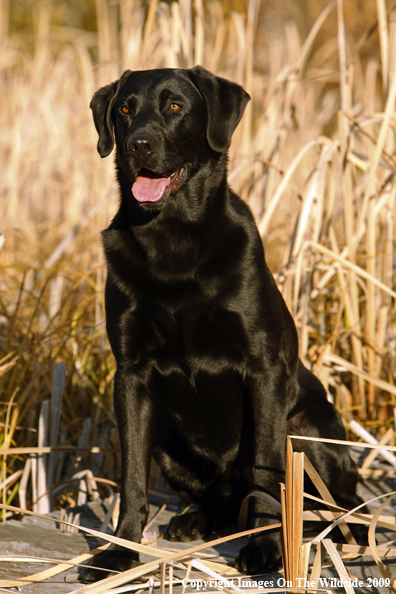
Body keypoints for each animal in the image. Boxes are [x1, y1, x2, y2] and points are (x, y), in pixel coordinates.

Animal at [85, 66, 360, 580]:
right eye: (125, 109)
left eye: (175, 106)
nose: (138, 144)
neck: (171, 239)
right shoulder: (130, 376)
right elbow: (131, 478)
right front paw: (119, 552)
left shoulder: (265, 369)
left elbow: (269, 472)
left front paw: (269, 548)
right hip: (167, 437)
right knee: (218, 501)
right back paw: (195, 522)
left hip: (305, 428)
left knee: (340, 506)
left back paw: (320, 531)